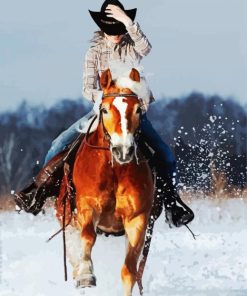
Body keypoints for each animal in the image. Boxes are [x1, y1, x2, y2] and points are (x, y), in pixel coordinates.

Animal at [55, 67, 154, 296]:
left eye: (138, 110)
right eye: (105, 110)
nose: (123, 150)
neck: (114, 170)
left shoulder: (137, 219)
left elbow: (129, 271)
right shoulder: (87, 207)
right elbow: (88, 238)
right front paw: (86, 275)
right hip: (66, 218)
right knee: (73, 251)